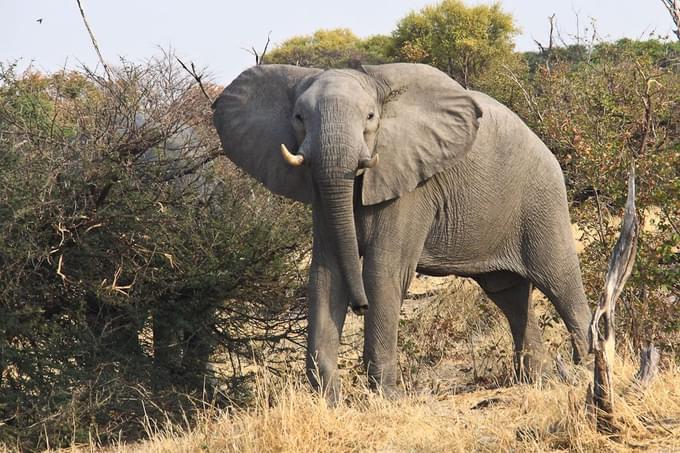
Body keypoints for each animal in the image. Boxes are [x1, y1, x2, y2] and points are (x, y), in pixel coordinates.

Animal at [211, 62, 588, 396]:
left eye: (370, 117)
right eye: (299, 118)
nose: (359, 307)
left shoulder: (411, 184)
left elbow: (382, 271)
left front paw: (386, 397)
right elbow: (326, 273)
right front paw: (328, 400)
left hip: (542, 198)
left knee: (559, 279)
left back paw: (585, 368)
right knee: (508, 293)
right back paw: (539, 381)